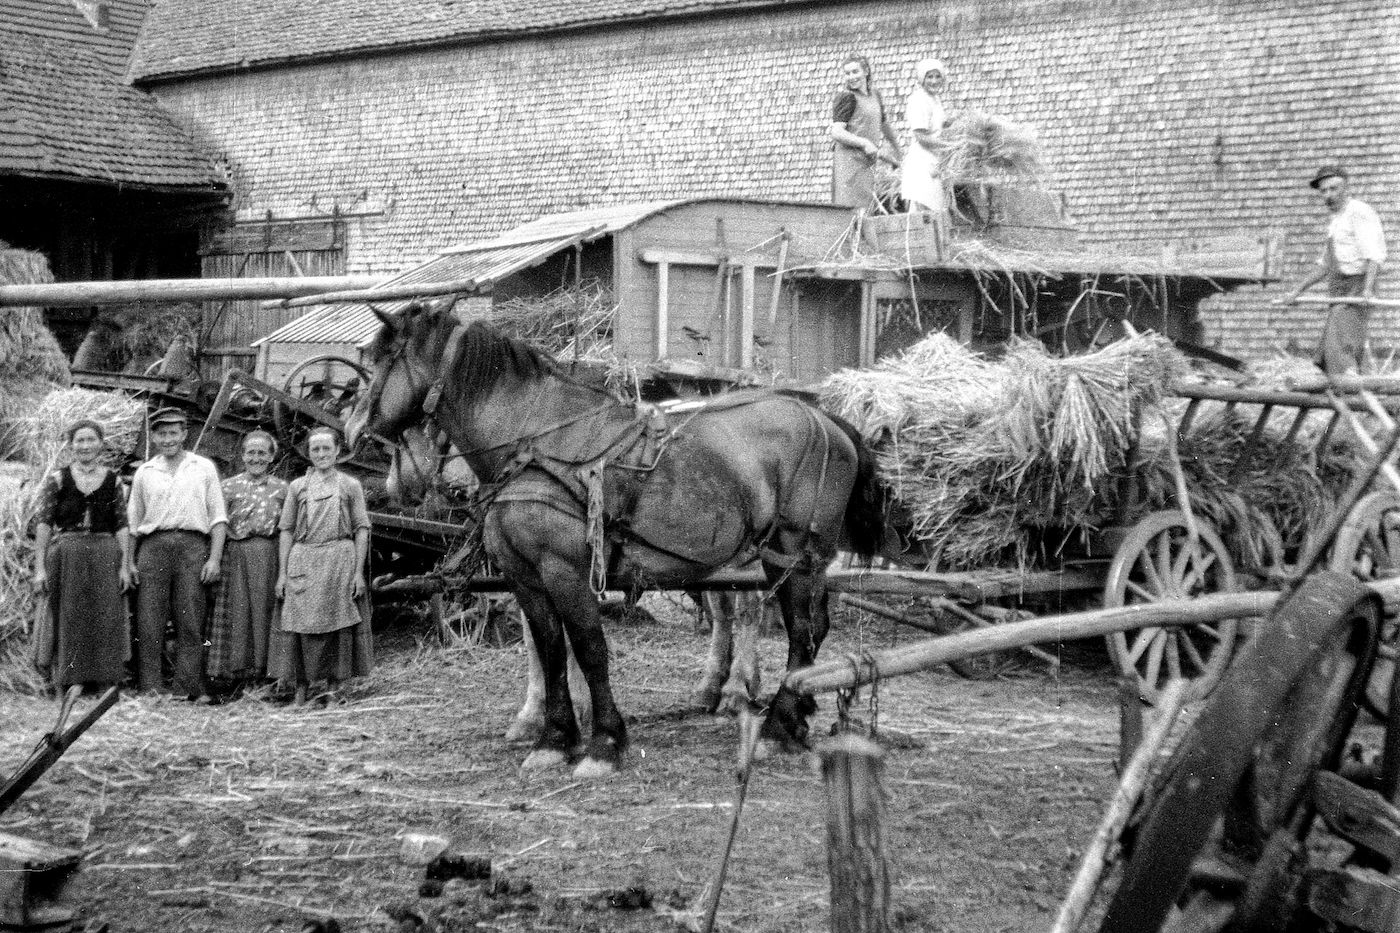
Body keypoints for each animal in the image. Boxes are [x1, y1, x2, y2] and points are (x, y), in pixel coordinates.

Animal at [350, 305, 890, 778]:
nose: (355, 434)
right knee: (806, 628)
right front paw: (554, 739)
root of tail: (827, 421)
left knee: (800, 632)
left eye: (376, 363)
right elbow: (549, 649)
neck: (536, 441)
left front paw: (605, 743)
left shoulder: (565, 568)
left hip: (792, 554)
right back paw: (791, 715)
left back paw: (776, 723)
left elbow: (589, 648)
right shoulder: (525, 574)